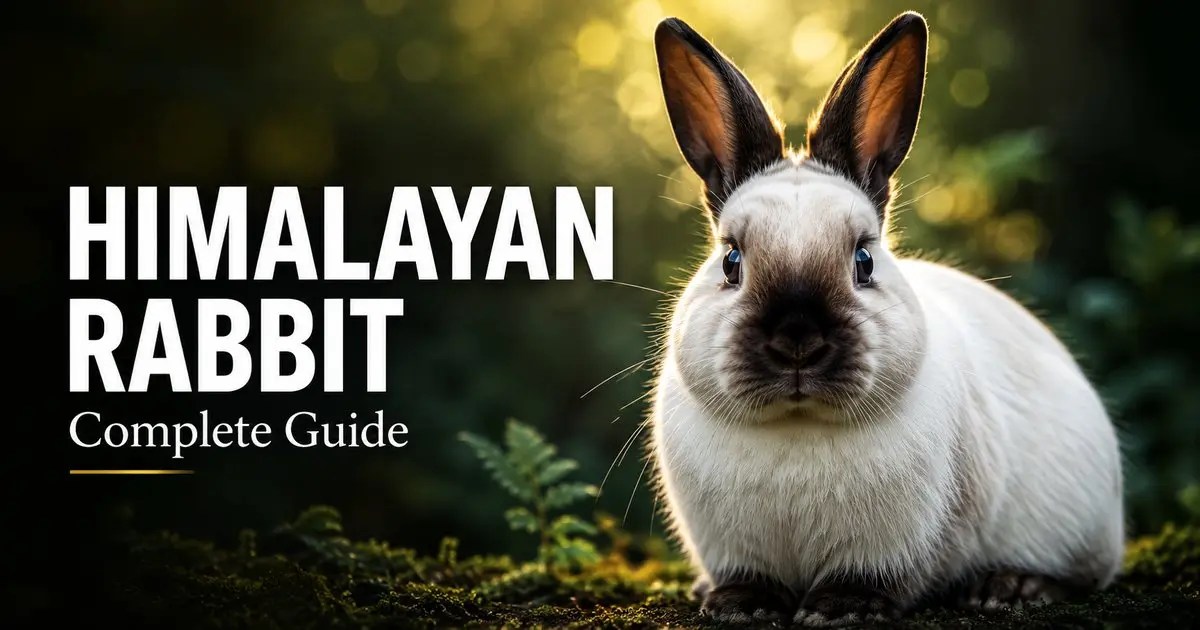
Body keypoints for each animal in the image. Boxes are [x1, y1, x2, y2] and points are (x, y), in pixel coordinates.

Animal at [650, 11, 1124, 626]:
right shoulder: (732, 547)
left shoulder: (898, 547)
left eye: (864, 261)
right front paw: (740, 605)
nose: (798, 340)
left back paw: (1012, 587)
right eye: (731, 262)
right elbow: (748, 578)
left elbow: (874, 580)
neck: (798, 425)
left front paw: (837, 611)